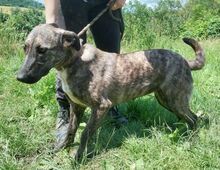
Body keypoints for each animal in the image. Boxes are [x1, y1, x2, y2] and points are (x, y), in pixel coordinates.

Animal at [16, 23, 205, 159]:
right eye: (25, 48)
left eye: (42, 50)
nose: (19, 77)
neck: (75, 61)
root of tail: (185, 61)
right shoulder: (76, 107)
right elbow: (70, 131)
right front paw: (61, 148)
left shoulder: (101, 107)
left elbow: (85, 134)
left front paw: (78, 158)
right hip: (165, 99)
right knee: (188, 118)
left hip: (175, 100)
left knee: (195, 119)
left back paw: (191, 141)